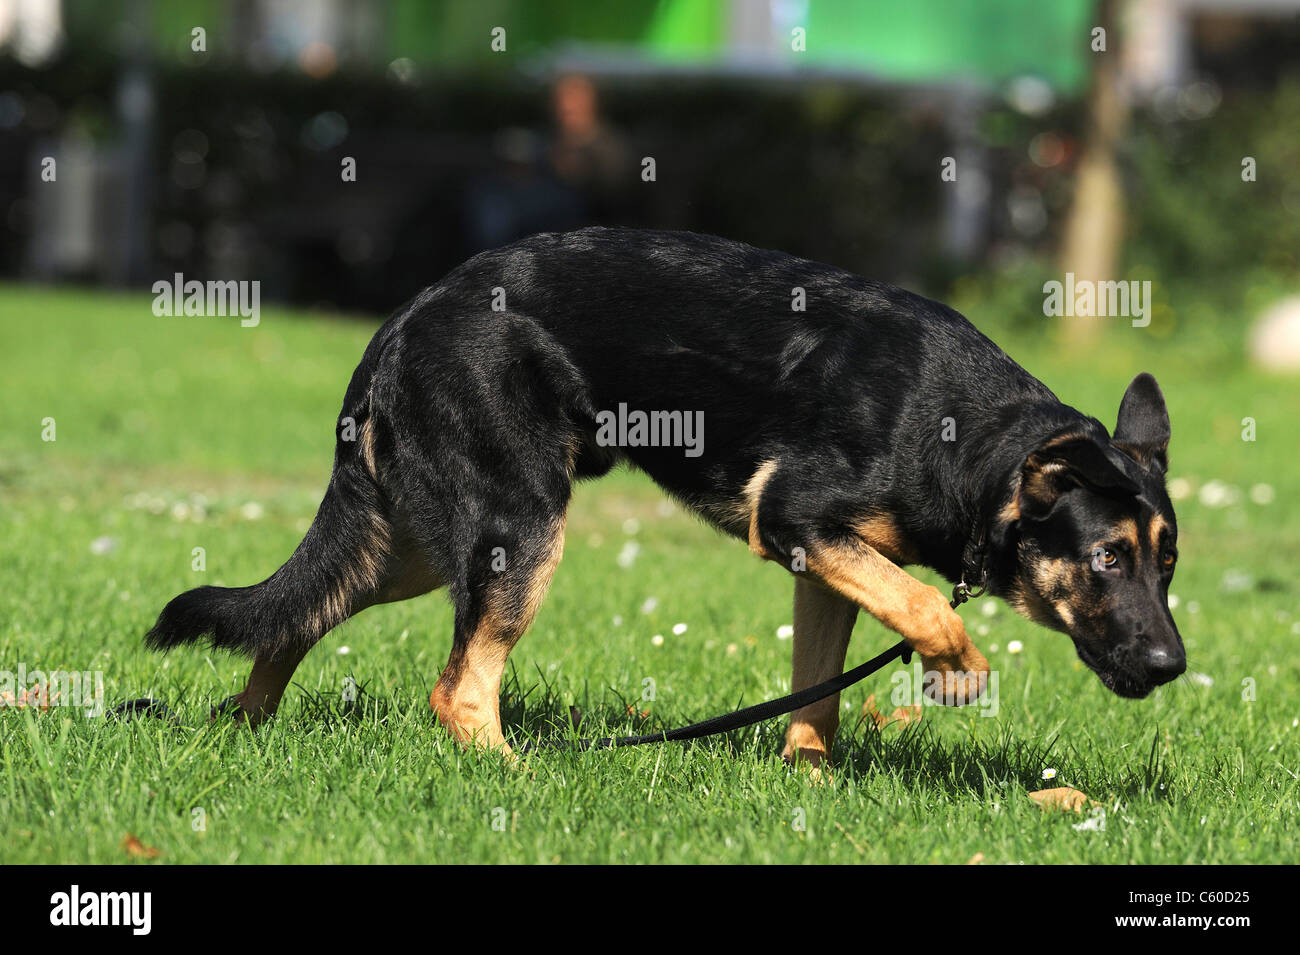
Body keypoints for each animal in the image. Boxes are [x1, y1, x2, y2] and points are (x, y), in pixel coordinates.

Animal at [147, 227, 1185, 764]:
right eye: (1107, 558)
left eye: (1168, 564)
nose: (1173, 664)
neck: (977, 448)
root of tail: (400, 321)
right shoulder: (796, 518)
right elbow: (926, 601)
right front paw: (956, 661)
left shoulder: (819, 560)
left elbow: (819, 689)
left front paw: (807, 780)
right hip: (521, 529)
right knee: (458, 688)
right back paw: (513, 778)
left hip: (406, 543)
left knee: (294, 614)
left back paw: (242, 729)